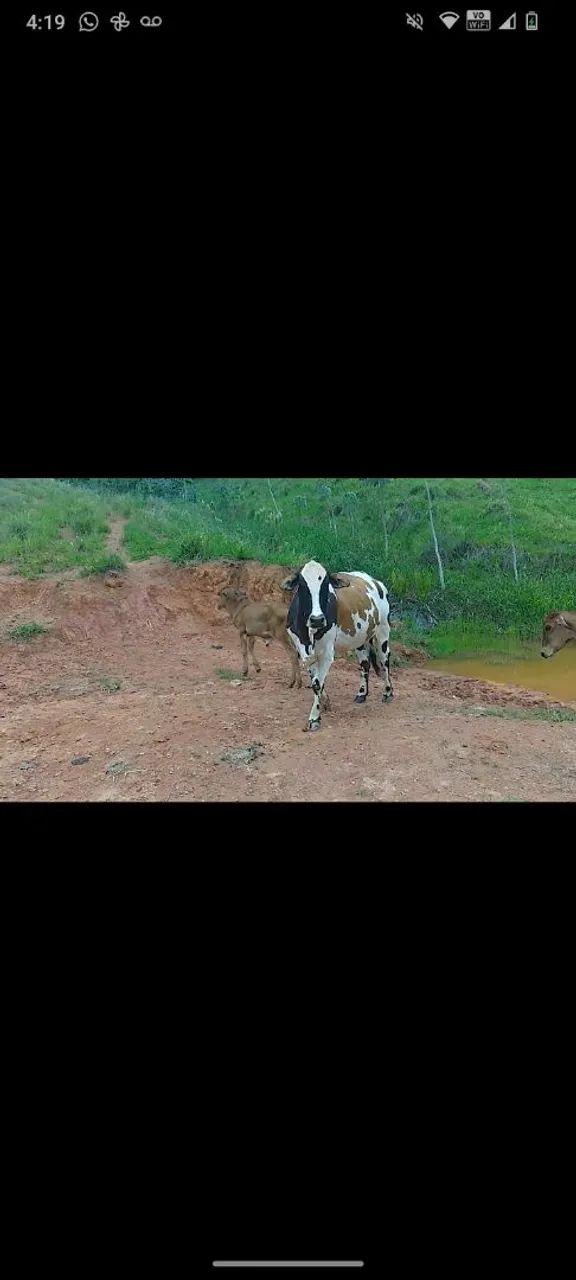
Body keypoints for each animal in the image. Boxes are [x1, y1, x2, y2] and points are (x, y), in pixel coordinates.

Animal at [282, 559, 393, 731]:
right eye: (302, 585)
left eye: (326, 584)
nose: (317, 619)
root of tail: (375, 581)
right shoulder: (304, 652)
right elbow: (315, 680)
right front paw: (325, 702)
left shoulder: (327, 653)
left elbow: (317, 684)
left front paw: (314, 719)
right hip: (361, 639)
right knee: (365, 664)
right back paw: (362, 693)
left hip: (383, 632)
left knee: (384, 661)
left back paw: (388, 693)